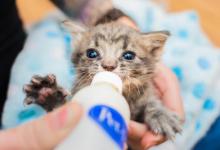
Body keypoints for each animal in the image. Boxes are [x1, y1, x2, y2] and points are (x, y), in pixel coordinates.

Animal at [23, 9, 182, 140]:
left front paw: (161, 115)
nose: (108, 66)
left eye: (128, 56)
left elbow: (151, 102)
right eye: (92, 53)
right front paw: (48, 94)